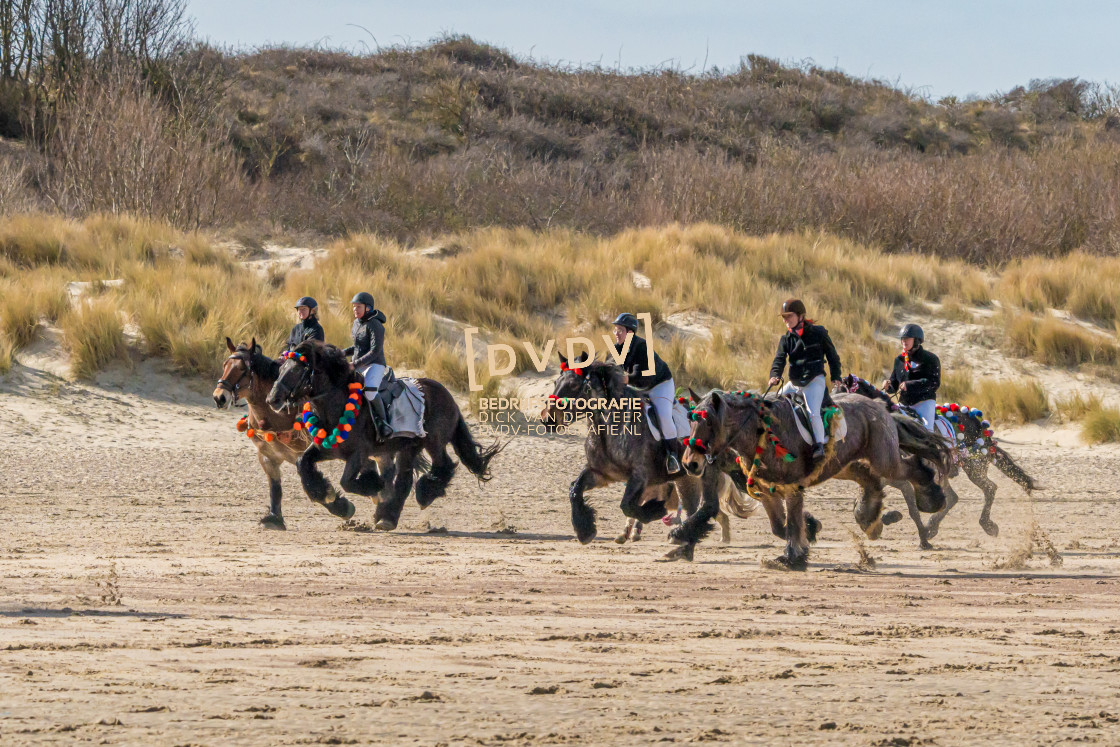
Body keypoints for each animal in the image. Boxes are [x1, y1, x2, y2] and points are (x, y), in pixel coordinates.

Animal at [266, 340, 499, 530]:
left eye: (295, 371)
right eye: (280, 369)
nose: (272, 400)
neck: (336, 404)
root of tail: (448, 395)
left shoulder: (358, 454)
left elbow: (347, 482)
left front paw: (372, 485)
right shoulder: (326, 448)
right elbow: (303, 464)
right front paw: (334, 501)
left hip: (433, 441)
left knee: (444, 465)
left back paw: (423, 494)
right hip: (409, 448)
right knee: (404, 479)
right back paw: (388, 517)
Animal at [546, 358, 757, 559]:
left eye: (575, 386)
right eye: (556, 382)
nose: (548, 420)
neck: (609, 426)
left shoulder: (640, 476)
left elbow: (627, 505)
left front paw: (655, 510)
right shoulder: (600, 473)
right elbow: (575, 490)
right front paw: (585, 531)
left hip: (705, 469)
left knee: (709, 506)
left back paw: (680, 537)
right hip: (687, 478)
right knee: (696, 507)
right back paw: (684, 544)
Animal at [672, 389, 954, 568]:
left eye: (709, 422)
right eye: (690, 420)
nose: (690, 463)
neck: (761, 434)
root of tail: (880, 406)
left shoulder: (792, 488)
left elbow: (792, 523)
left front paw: (792, 557)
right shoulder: (766, 490)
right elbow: (780, 526)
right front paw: (807, 538)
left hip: (884, 460)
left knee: (910, 469)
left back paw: (931, 498)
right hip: (842, 465)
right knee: (869, 479)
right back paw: (870, 519)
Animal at [837, 374, 1034, 548]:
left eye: (843, 394)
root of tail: (980, 424)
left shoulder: (903, 479)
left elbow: (912, 509)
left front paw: (922, 539)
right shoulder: (885, 478)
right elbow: (860, 504)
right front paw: (880, 522)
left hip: (973, 467)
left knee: (989, 489)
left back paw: (987, 525)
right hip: (946, 473)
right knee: (953, 497)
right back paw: (933, 527)